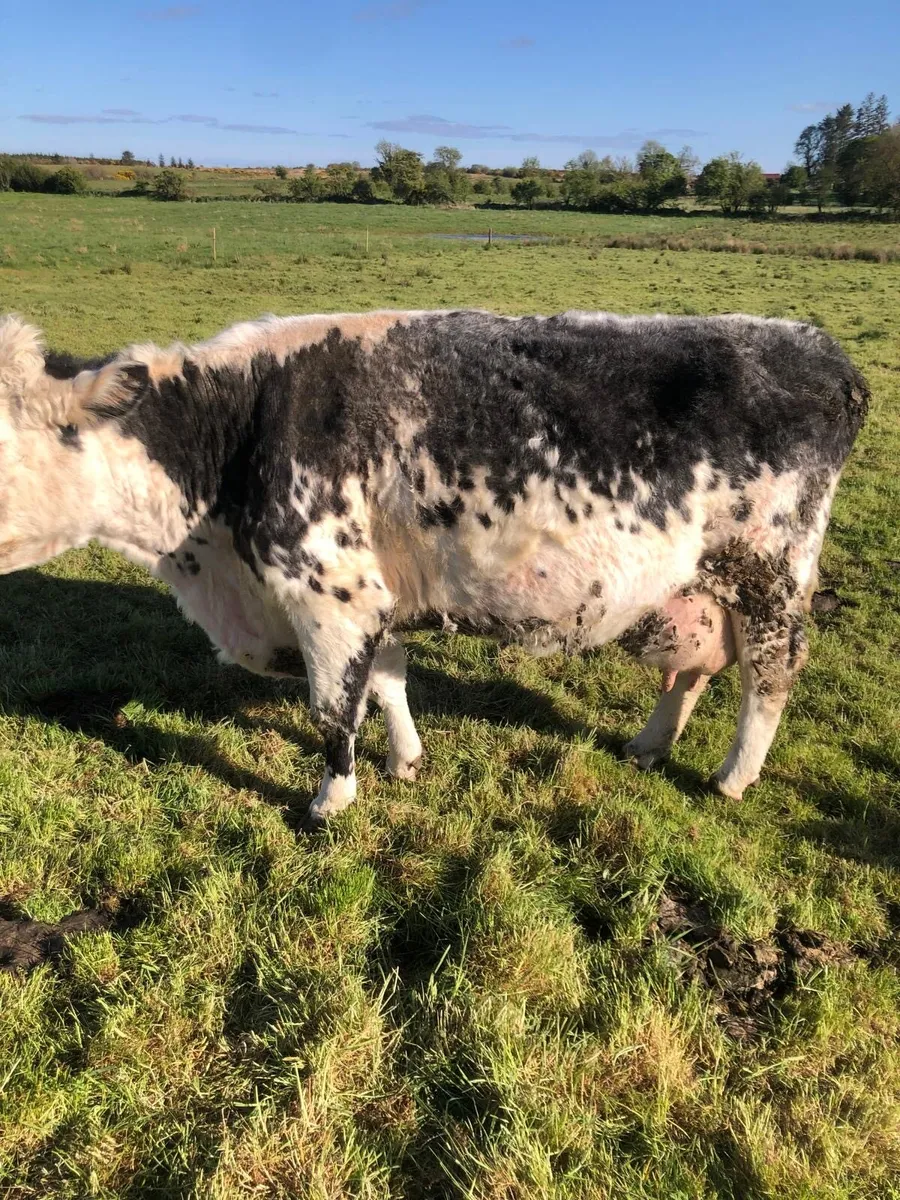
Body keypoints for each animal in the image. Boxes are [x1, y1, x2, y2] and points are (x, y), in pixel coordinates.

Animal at [0, 309, 868, 824]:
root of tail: (821, 349)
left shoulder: (330, 590)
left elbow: (332, 709)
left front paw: (331, 800)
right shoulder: (370, 592)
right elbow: (386, 678)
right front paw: (405, 760)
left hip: (770, 573)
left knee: (770, 674)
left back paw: (733, 777)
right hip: (698, 586)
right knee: (693, 669)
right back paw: (649, 745)